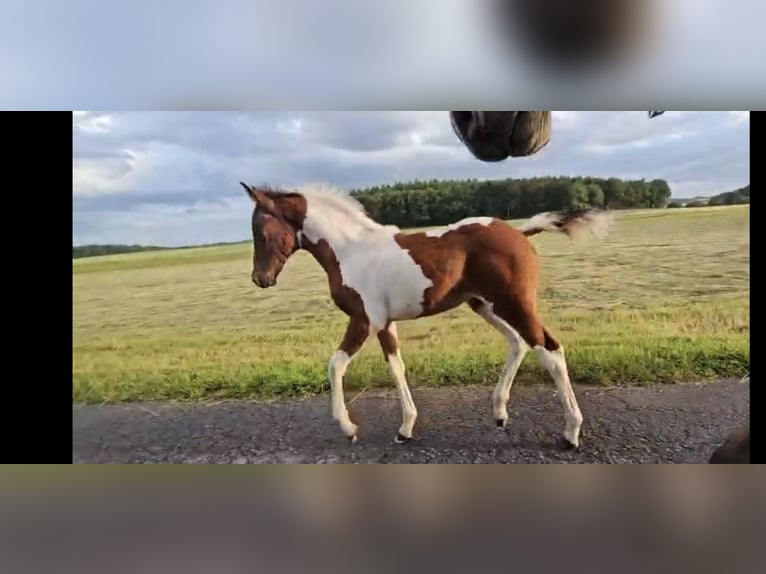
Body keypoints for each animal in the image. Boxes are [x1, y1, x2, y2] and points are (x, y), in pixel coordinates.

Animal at [241, 182, 614, 449]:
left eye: (261, 231)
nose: (260, 279)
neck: (351, 250)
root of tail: (518, 232)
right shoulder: (384, 324)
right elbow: (397, 368)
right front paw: (405, 428)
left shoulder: (364, 320)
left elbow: (335, 365)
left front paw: (348, 427)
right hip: (484, 304)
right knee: (519, 343)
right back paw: (499, 413)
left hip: (514, 303)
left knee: (549, 349)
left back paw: (570, 432)